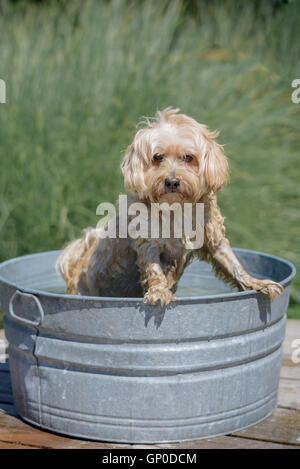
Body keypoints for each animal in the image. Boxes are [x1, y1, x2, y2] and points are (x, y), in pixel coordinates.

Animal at [58, 107, 284, 304]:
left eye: (188, 157)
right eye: (157, 157)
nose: (172, 182)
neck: (176, 208)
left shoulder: (213, 238)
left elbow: (232, 262)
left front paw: (256, 283)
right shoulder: (148, 243)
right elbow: (154, 269)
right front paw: (159, 292)